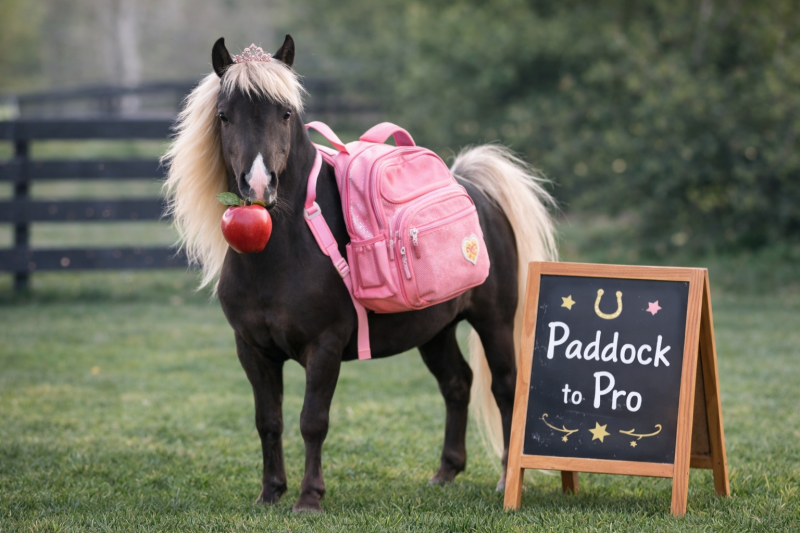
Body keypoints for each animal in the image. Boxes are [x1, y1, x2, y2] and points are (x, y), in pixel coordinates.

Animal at [163, 34, 557, 512]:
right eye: (224, 115)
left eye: (286, 113)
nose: (258, 186)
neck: (283, 250)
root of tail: (475, 190)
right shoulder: (252, 350)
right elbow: (268, 421)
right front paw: (270, 493)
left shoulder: (324, 346)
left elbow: (312, 420)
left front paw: (309, 498)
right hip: (434, 329)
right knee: (457, 383)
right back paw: (445, 473)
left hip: (494, 323)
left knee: (504, 388)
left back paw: (504, 480)